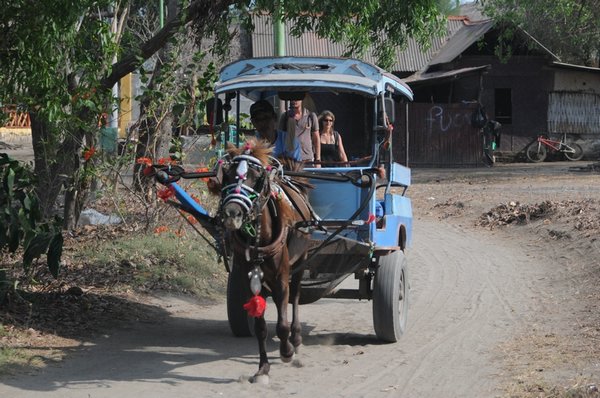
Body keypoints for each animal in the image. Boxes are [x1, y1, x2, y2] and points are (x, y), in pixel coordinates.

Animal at [207, 138, 314, 382]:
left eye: (256, 177)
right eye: (227, 175)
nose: (232, 214)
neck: (259, 237)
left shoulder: (282, 276)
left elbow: (282, 323)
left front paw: (286, 351)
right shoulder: (248, 278)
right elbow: (260, 327)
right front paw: (263, 367)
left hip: (300, 262)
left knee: (295, 297)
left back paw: (296, 340)